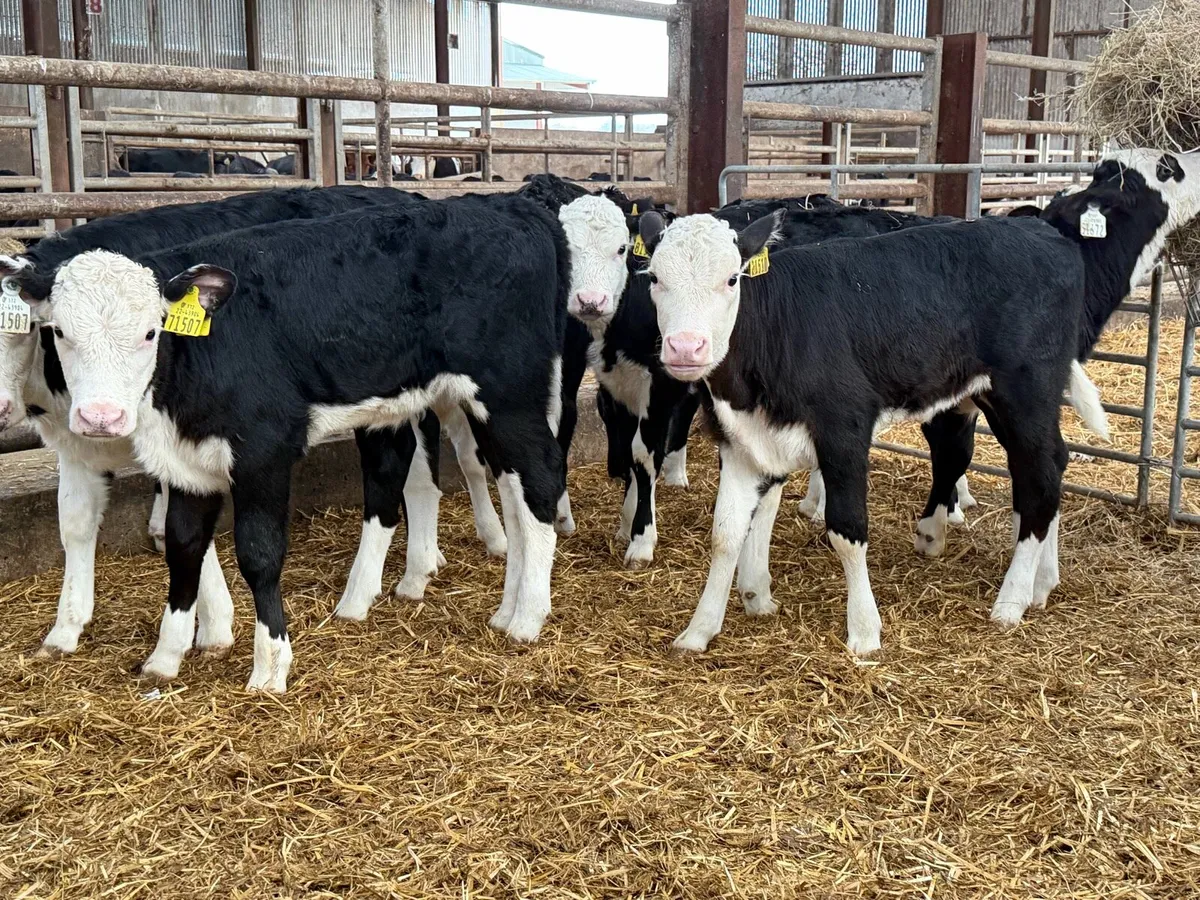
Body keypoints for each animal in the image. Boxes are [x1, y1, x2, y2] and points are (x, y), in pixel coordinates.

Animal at [37, 193, 569, 693]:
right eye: (58, 332)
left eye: (150, 333)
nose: (100, 417)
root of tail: (511, 206)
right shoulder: (185, 463)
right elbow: (184, 546)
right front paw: (165, 657)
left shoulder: (263, 453)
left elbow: (259, 553)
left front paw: (270, 666)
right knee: (512, 491)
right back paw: (502, 608)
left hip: (509, 394)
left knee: (541, 479)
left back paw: (528, 617)